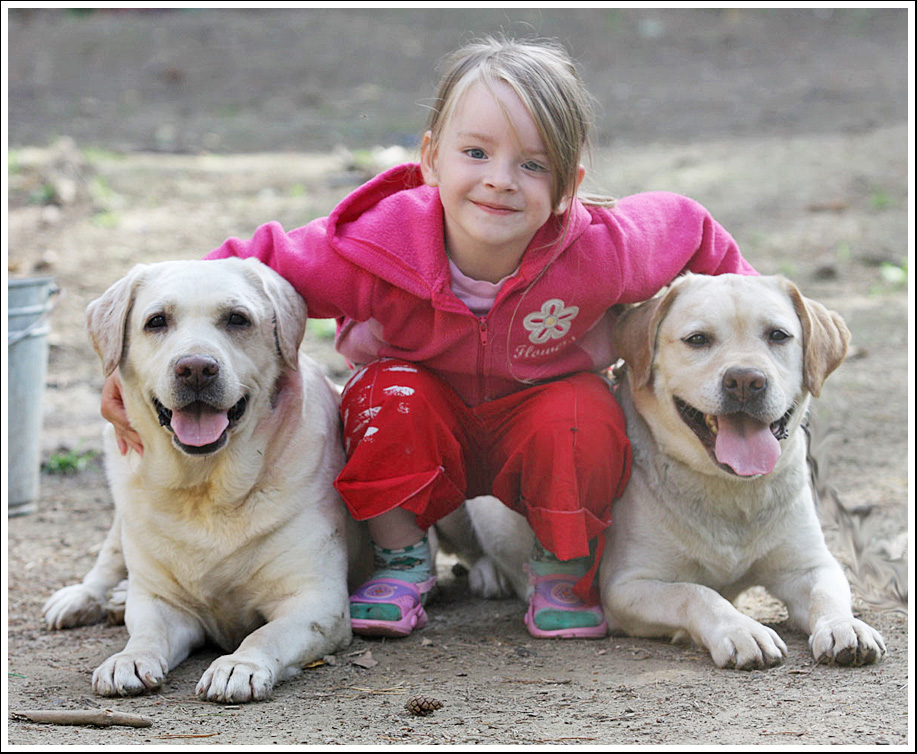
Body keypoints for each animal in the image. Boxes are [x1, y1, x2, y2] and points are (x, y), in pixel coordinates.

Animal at [42, 258, 364, 700]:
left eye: (237, 319)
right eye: (157, 321)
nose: (196, 368)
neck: (206, 493)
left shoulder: (315, 601)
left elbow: (265, 635)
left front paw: (238, 665)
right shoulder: (161, 604)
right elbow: (146, 634)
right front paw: (128, 659)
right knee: (109, 557)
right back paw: (87, 597)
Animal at [446, 274, 888, 668]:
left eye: (778, 335)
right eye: (698, 339)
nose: (746, 380)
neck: (729, 490)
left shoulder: (810, 565)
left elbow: (828, 594)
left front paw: (845, 626)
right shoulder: (626, 587)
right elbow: (696, 593)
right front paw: (741, 630)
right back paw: (489, 574)